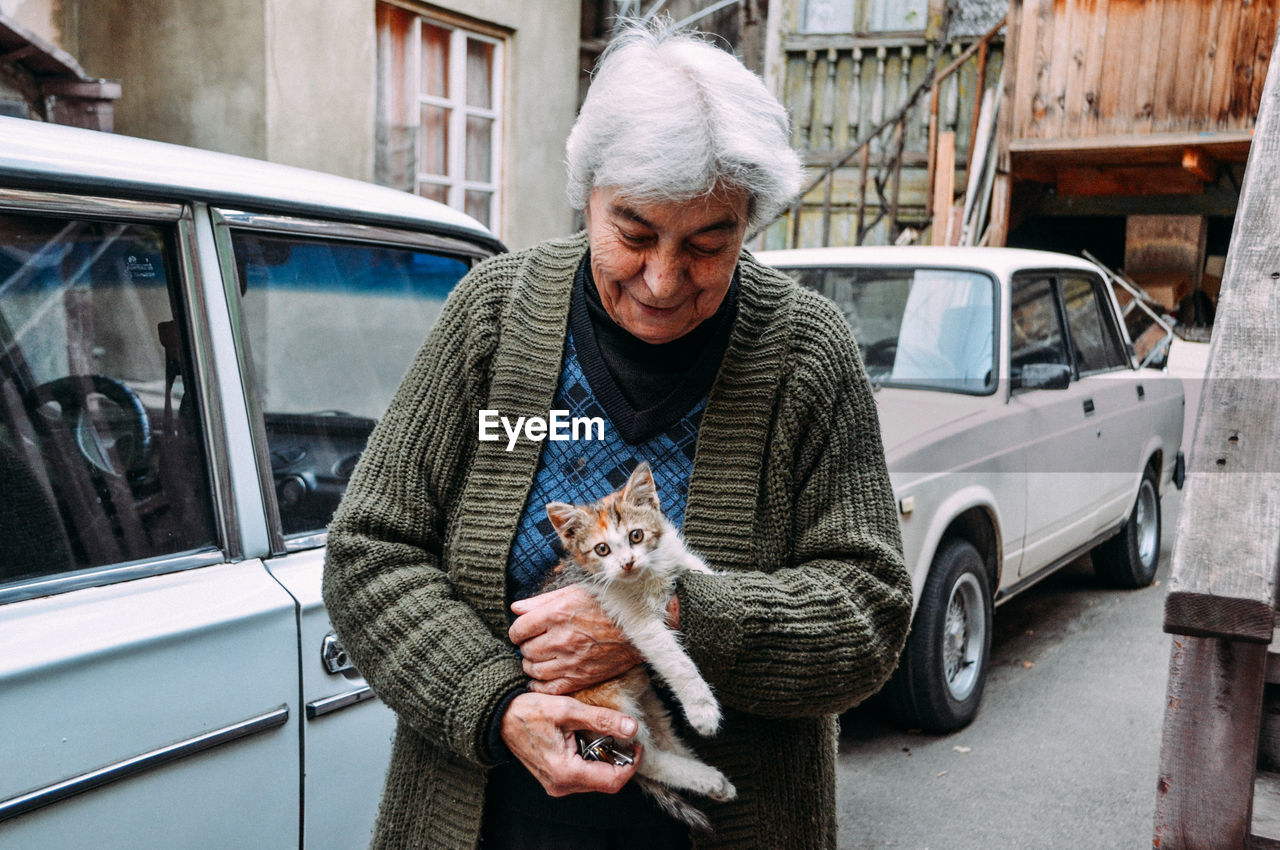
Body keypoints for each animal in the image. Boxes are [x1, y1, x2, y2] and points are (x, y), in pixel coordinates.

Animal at [540, 460, 737, 834]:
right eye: (601, 549)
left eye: (636, 535)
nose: (627, 563)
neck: (648, 574)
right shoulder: (636, 621)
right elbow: (675, 660)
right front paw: (703, 709)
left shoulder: (678, 558)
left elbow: (704, 574)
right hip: (610, 704)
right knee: (646, 759)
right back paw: (704, 777)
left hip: (644, 699)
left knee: (662, 734)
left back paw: (710, 780)